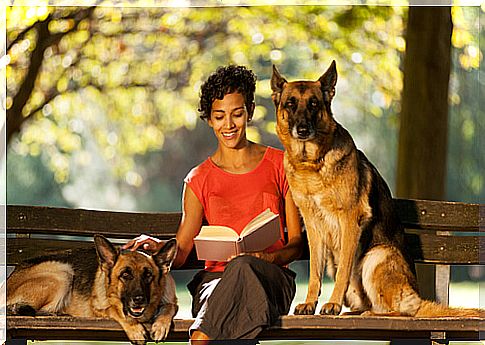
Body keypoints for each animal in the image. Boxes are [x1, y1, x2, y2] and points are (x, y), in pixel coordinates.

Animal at [6, 232, 178, 342]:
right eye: (125, 275)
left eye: (148, 275)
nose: (139, 299)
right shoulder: (98, 308)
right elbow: (116, 311)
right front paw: (135, 329)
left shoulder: (171, 302)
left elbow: (169, 307)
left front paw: (160, 326)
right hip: (64, 272)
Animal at [270, 61, 482, 318]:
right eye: (290, 104)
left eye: (313, 104)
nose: (302, 130)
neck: (312, 164)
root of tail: (417, 294)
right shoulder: (312, 225)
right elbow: (314, 272)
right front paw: (310, 303)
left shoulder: (349, 219)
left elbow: (343, 271)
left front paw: (332, 303)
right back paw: (355, 313)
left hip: (376, 255)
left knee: (401, 310)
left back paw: (370, 314)